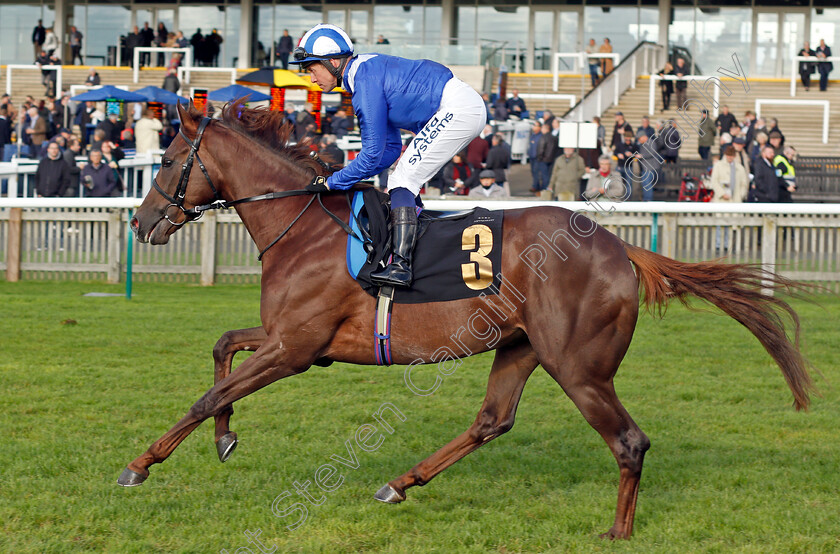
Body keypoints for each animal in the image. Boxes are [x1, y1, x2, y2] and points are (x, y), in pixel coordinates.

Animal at [121, 101, 812, 536]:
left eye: (168, 161)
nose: (141, 222)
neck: (305, 227)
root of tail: (621, 248)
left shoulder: (293, 349)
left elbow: (207, 396)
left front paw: (141, 465)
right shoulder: (295, 343)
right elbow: (221, 349)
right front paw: (225, 439)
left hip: (578, 367)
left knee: (629, 442)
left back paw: (618, 532)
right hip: (522, 347)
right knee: (492, 420)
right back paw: (400, 482)